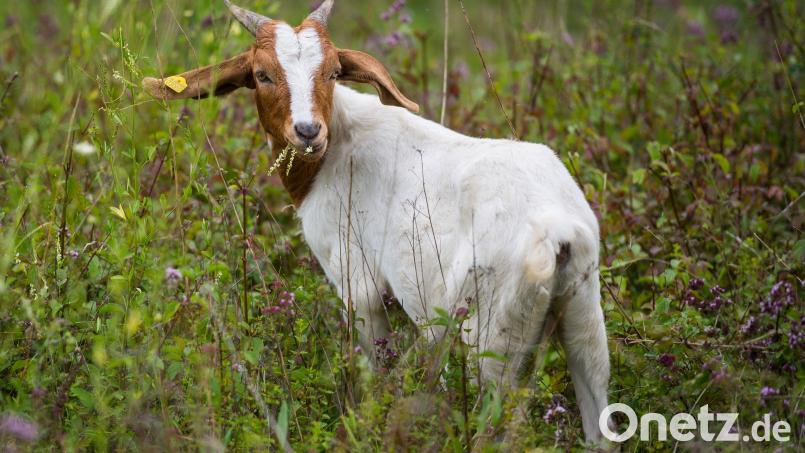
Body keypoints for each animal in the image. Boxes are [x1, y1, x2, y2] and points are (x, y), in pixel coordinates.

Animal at [143, 0, 611, 444]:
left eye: (334, 72)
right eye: (261, 74)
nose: (308, 131)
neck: (338, 146)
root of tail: (559, 229)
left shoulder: (356, 280)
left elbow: (375, 370)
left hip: (493, 331)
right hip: (583, 310)